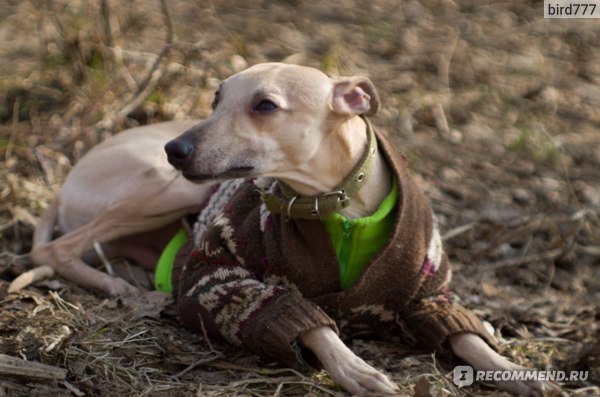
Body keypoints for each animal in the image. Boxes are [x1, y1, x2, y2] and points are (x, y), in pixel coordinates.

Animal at [12, 63, 556, 394]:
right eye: (215, 99)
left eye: (265, 106)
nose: (175, 149)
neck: (337, 204)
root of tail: (65, 181)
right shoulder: (224, 275)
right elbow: (308, 320)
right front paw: (357, 368)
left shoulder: (426, 295)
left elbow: (467, 337)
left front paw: (515, 370)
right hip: (167, 190)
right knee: (55, 251)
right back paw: (127, 291)